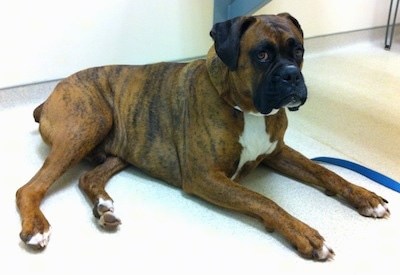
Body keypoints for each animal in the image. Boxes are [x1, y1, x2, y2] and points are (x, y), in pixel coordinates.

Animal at [16, 13, 390, 264]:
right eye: (262, 55)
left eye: (297, 51)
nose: (291, 76)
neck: (248, 109)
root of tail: (51, 93)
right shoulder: (205, 177)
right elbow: (264, 201)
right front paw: (306, 233)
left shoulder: (278, 153)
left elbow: (327, 173)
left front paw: (365, 197)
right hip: (90, 122)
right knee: (29, 188)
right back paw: (37, 227)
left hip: (122, 146)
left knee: (87, 178)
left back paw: (104, 207)